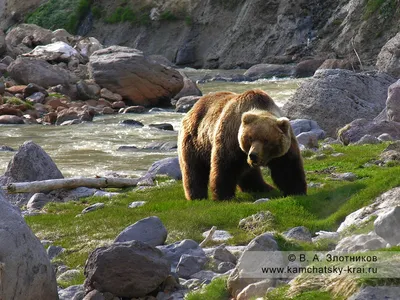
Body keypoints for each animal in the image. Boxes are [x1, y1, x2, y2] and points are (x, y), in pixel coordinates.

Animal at [178, 89, 306, 202]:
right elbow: (225, 166)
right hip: (196, 141)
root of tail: (193, 108)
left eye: (266, 140)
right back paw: (196, 196)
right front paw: (223, 196)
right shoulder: (231, 139)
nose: (253, 155)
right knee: (194, 169)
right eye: (250, 138)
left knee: (249, 173)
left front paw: (296, 190)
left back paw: (264, 188)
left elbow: (288, 167)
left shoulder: (284, 148)